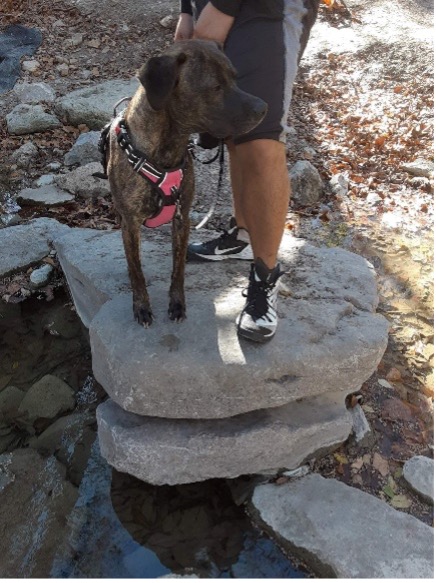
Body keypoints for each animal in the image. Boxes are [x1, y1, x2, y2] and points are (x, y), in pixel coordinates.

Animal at [107, 38, 268, 326]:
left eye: (235, 77)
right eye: (215, 87)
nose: (263, 108)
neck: (166, 150)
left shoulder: (182, 219)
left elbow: (178, 266)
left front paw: (177, 302)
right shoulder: (131, 224)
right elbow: (136, 270)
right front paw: (142, 305)